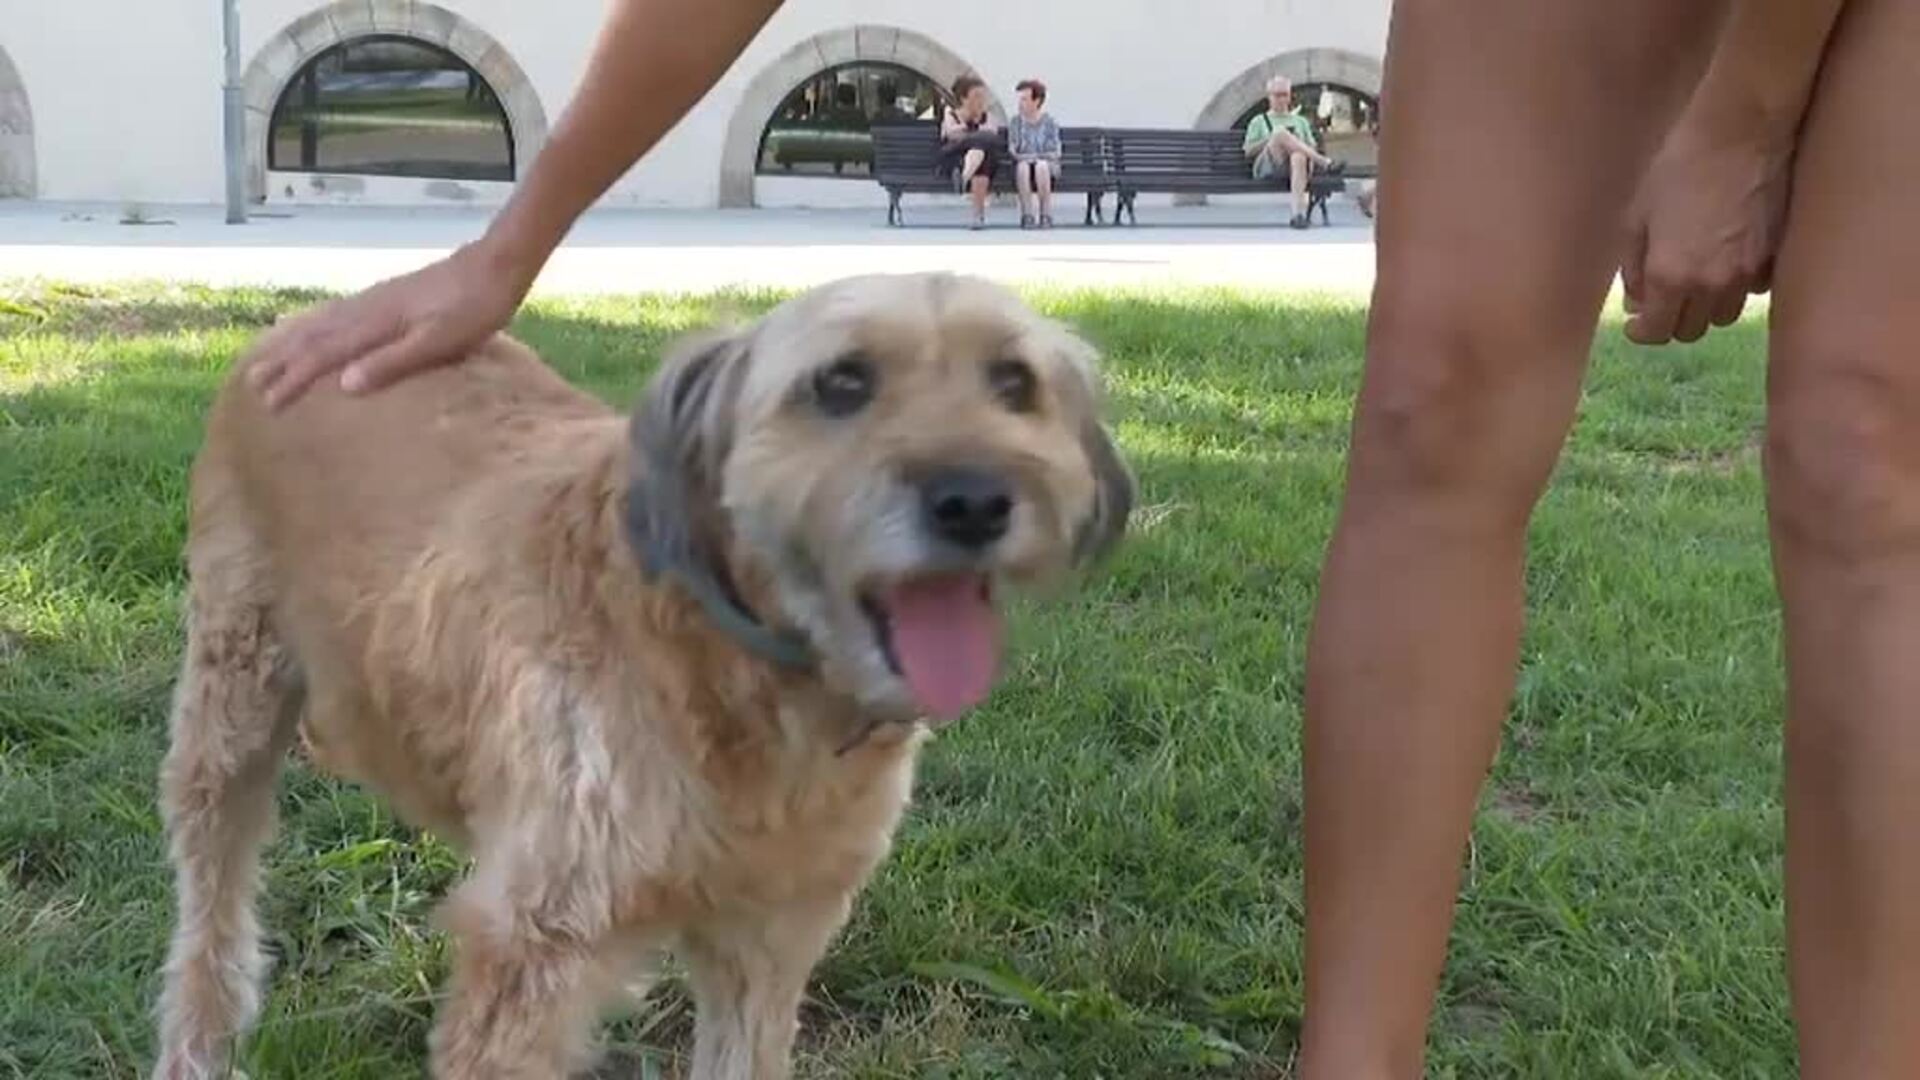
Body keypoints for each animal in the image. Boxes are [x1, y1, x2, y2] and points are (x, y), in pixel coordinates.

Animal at [157, 270, 1128, 1076]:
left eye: (1014, 383)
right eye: (843, 382)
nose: (976, 500)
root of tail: (303, 320)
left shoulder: (770, 936)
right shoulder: (535, 953)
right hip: (229, 709)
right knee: (211, 910)